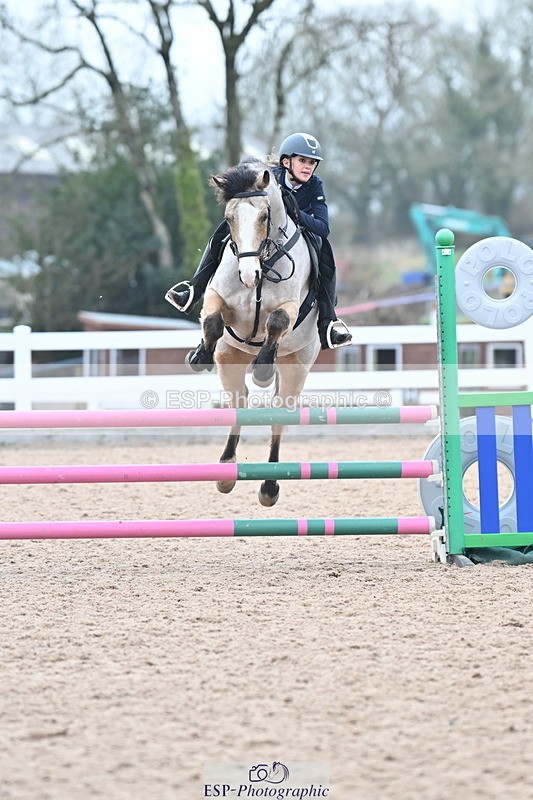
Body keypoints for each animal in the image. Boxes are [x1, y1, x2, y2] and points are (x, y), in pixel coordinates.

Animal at [192, 158, 320, 506]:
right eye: (228, 219)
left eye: (265, 216)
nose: (249, 275)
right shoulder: (216, 299)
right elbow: (212, 322)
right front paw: (201, 356)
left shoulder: (290, 307)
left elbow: (276, 322)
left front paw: (263, 366)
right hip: (231, 358)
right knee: (239, 404)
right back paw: (226, 469)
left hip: (297, 364)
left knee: (279, 414)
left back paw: (270, 485)